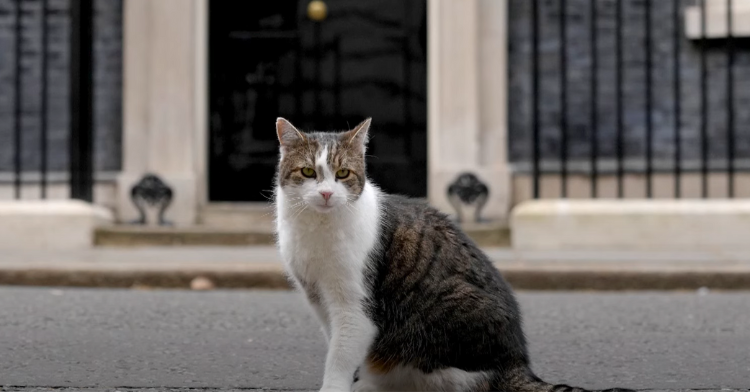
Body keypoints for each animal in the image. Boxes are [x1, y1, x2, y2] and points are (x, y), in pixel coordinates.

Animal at [274, 118, 632, 392]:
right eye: (308, 172)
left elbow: (341, 355)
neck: (317, 227)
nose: (325, 193)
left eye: (343, 174)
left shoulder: (354, 308)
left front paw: (337, 385)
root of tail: (516, 363)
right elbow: (338, 346)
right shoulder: (319, 300)